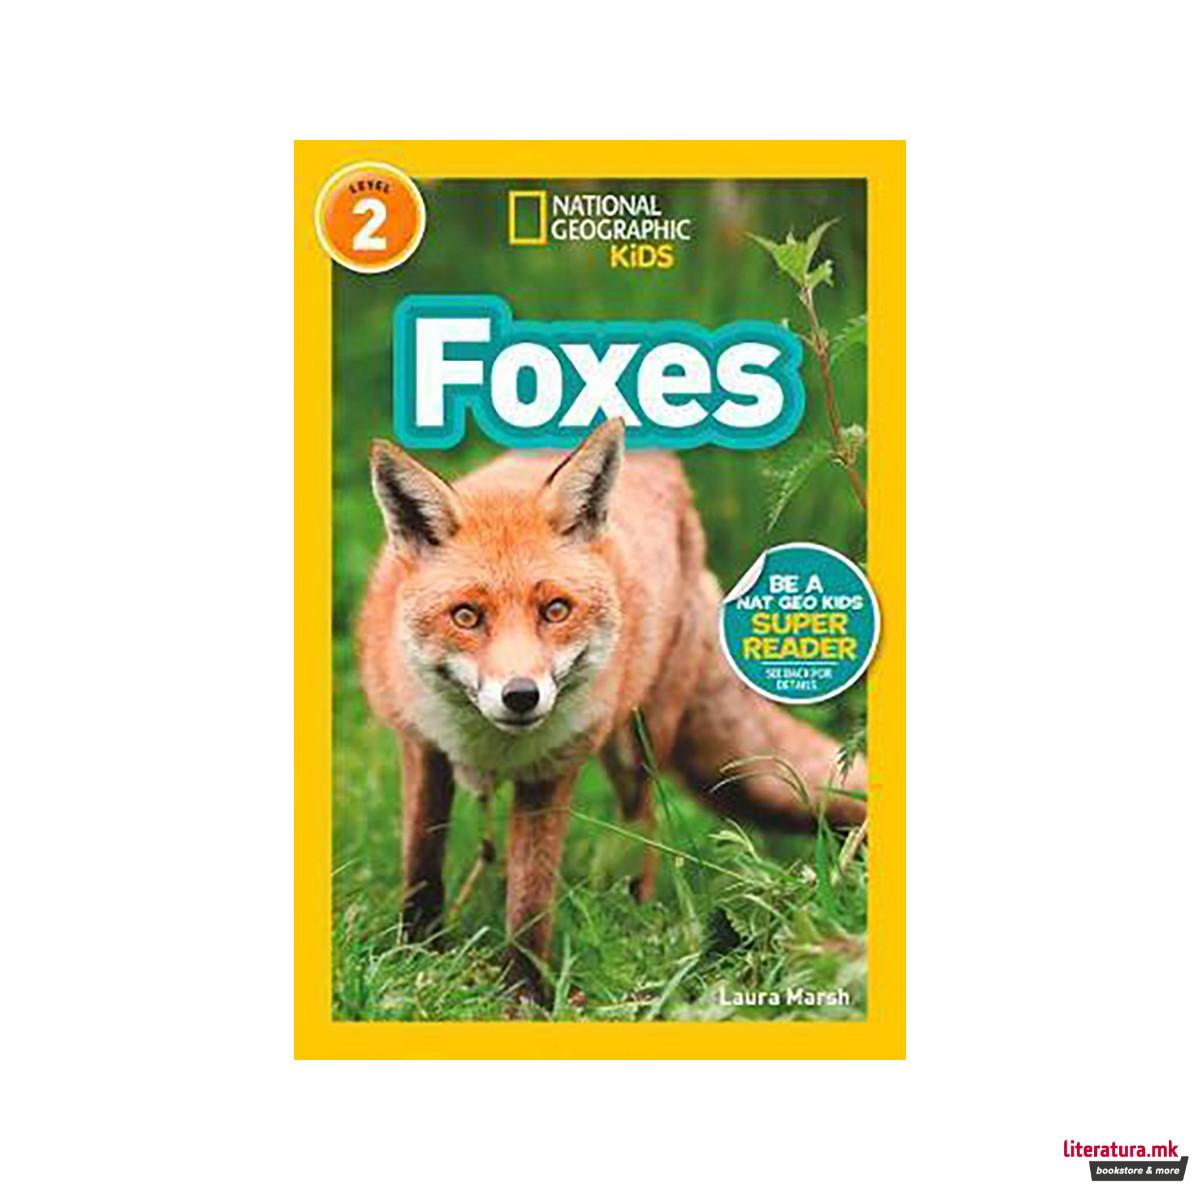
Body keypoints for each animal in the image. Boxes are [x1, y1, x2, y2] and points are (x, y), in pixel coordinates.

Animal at [358, 418, 866, 1003]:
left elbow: (530, 902)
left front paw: (524, 997)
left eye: (556, 610)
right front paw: (415, 955)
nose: (521, 695)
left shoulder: (551, 772)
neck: (488, 744)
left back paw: (634, 918)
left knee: (642, 828)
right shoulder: (422, 746)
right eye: (466, 616)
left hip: (637, 747)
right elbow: (421, 864)